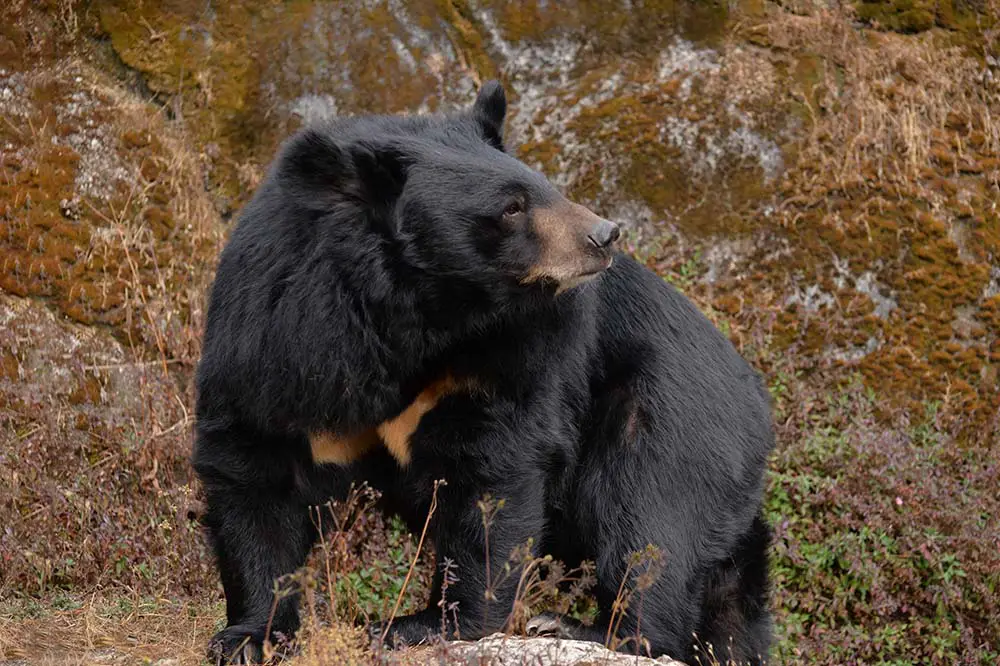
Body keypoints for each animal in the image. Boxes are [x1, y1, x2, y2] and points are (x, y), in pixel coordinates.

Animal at [193, 80, 772, 660]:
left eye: (546, 188)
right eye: (512, 207)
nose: (605, 235)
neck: (416, 314)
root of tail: (757, 397)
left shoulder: (515, 349)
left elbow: (493, 475)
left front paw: (426, 623)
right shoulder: (274, 339)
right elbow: (255, 471)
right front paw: (248, 636)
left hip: (672, 416)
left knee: (648, 517)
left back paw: (584, 629)